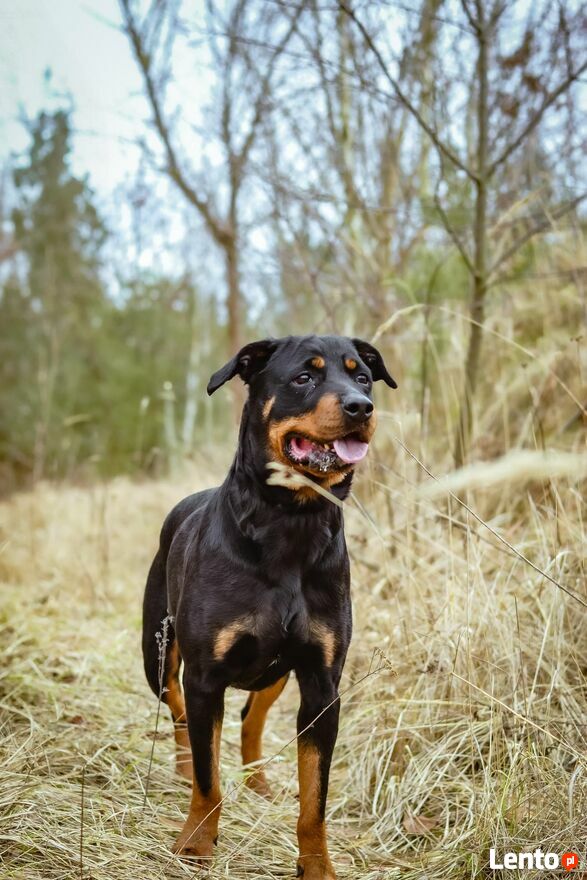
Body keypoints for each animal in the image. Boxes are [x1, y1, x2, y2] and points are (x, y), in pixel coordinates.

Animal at [142, 334, 396, 879]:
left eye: (363, 376)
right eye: (304, 377)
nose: (361, 407)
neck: (291, 521)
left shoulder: (321, 685)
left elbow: (314, 798)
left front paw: (317, 865)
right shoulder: (205, 674)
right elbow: (207, 775)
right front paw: (197, 842)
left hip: (276, 670)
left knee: (250, 718)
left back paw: (257, 782)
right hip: (160, 650)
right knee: (176, 707)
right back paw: (181, 767)